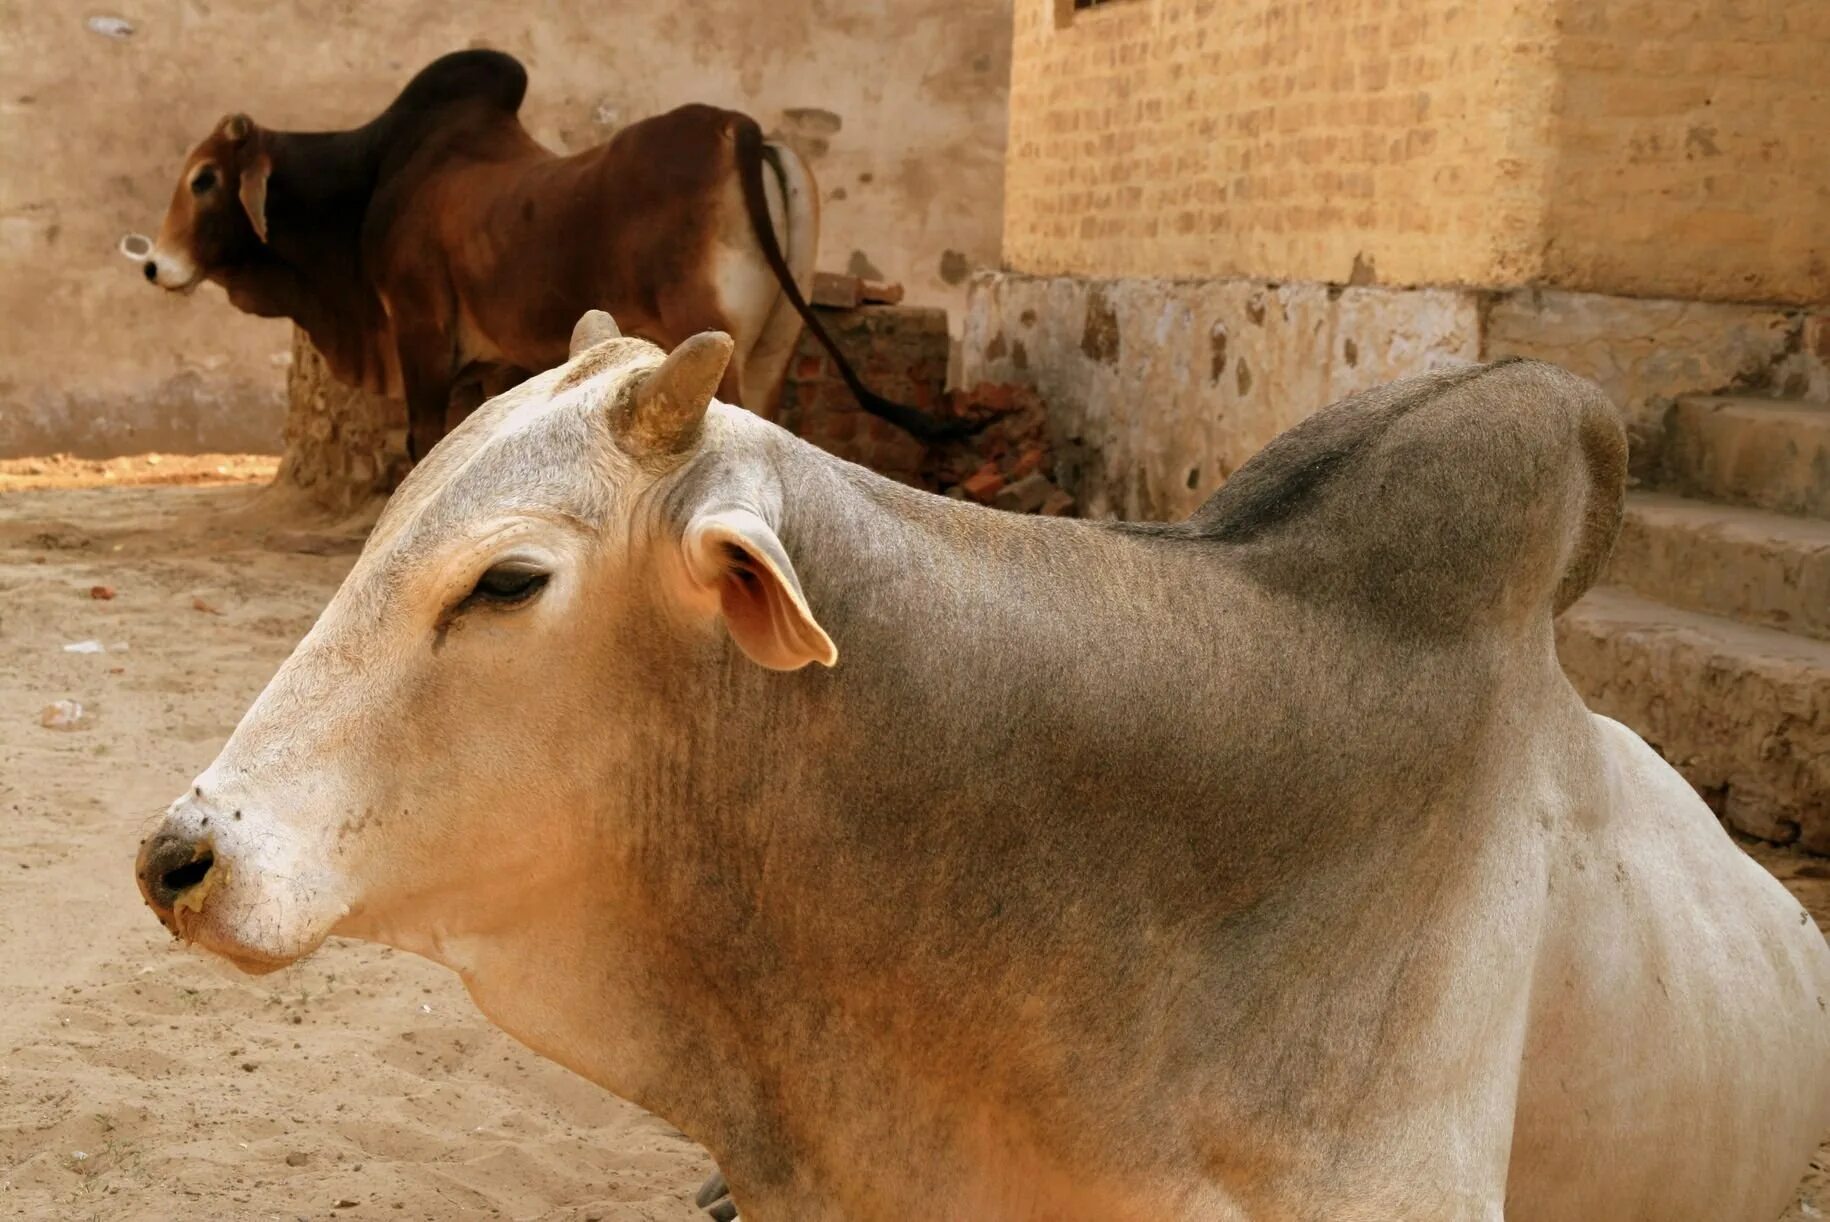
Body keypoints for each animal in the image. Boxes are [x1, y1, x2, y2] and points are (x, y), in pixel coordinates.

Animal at [142, 48, 951, 462]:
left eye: (204, 179)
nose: (155, 265)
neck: (374, 178)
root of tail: (736, 126)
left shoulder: (421, 331)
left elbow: (422, 442)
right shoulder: (495, 359)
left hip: (715, 345)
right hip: (776, 346)